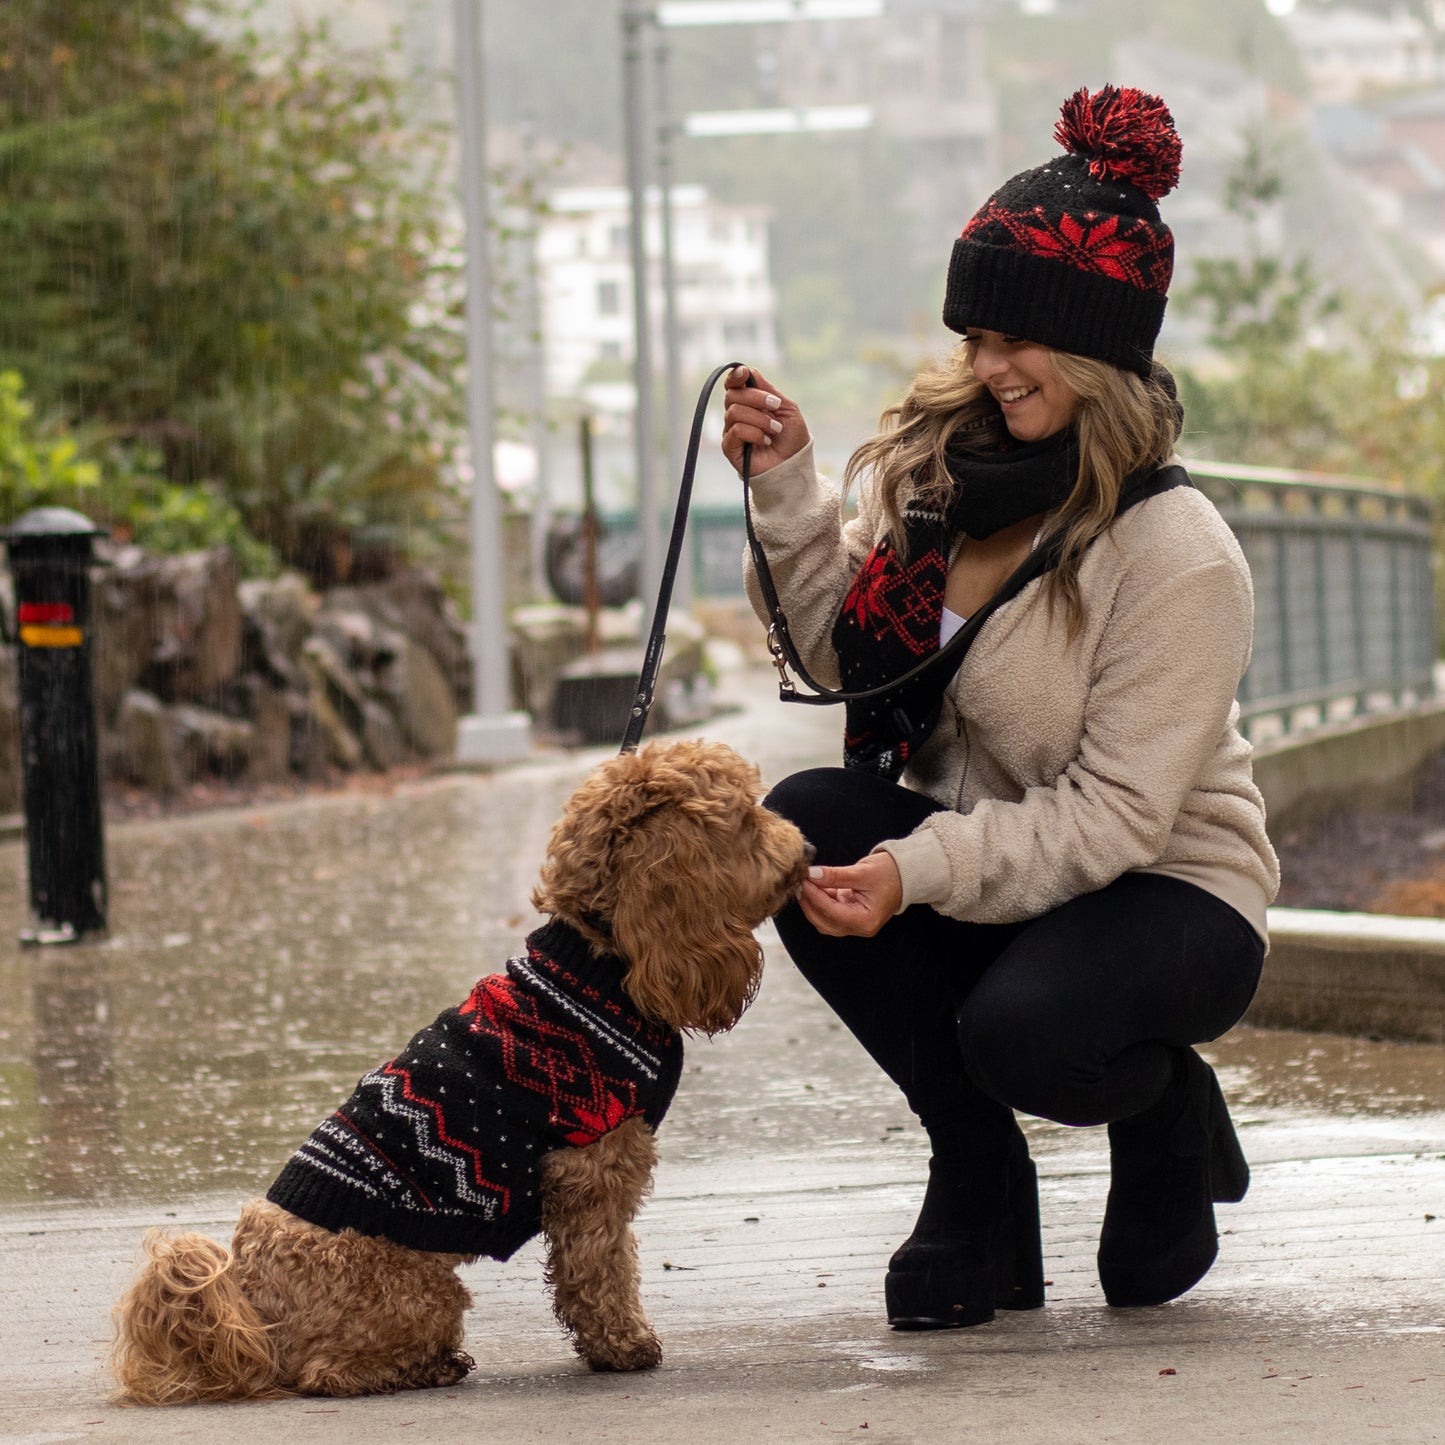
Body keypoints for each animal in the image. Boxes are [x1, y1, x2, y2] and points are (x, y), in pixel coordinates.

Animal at [109, 739, 814, 1404]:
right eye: (745, 819)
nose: (806, 847)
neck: (598, 963)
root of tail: (250, 1305)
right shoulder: (591, 1169)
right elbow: (600, 1270)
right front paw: (624, 1347)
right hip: (422, 1293)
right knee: (326, 1372)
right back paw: (422, 1368)